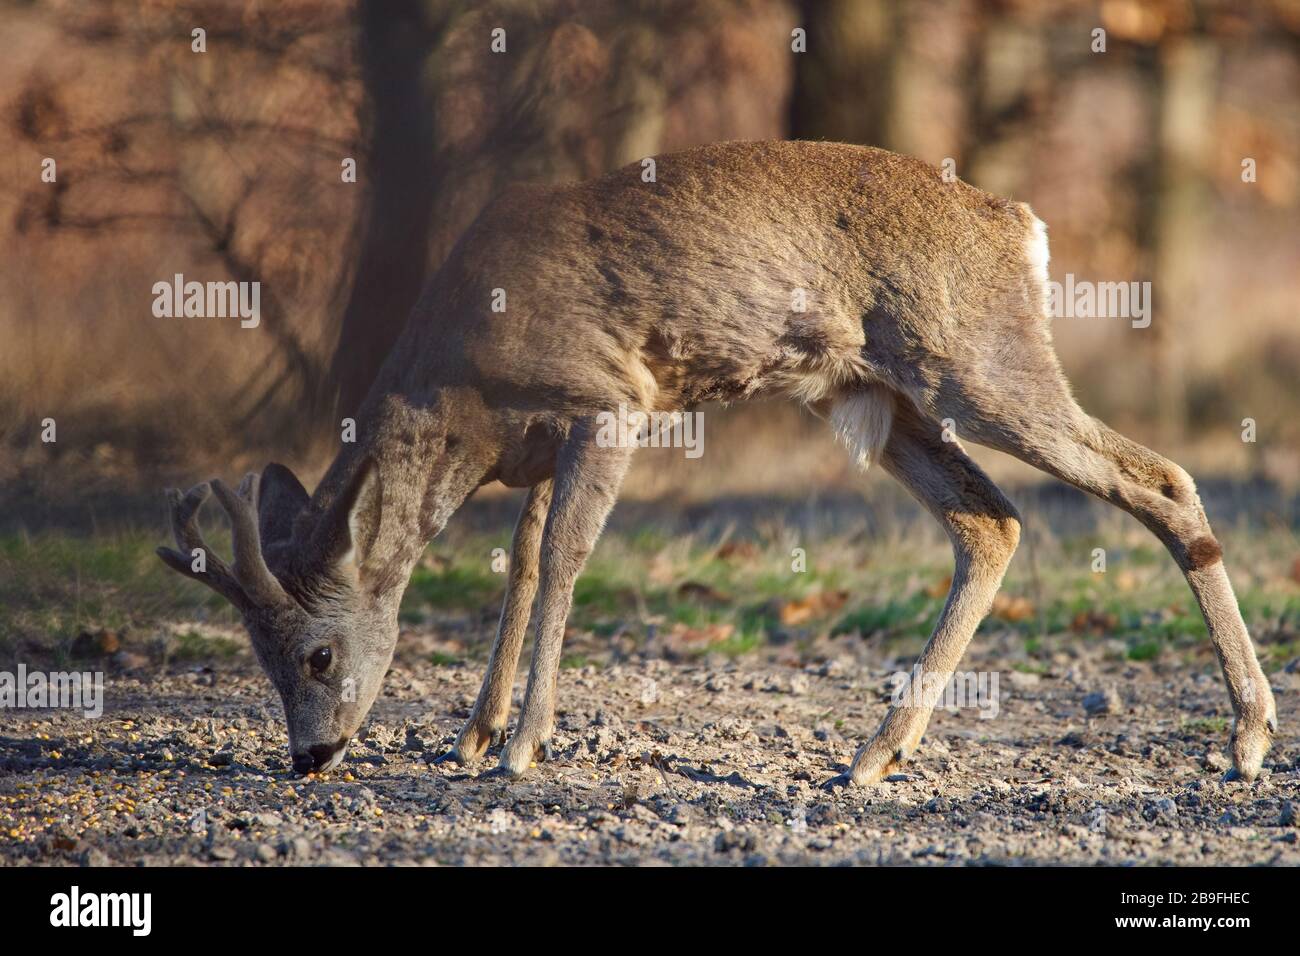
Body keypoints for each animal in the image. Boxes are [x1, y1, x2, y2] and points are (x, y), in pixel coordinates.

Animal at [158, 140, 1277, 787]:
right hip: (876, 397)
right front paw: (472, 734)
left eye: (316, 655)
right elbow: (519, 561)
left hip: (976, 362)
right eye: (260, 658)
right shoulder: (540, 442)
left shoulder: (612, 397)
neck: (463, 388)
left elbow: (561, 556)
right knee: (990, 519)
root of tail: (1021, 223)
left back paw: (1249, 735)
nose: (310, 755)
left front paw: (521, 746)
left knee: (1159, 479)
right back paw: (875, 753)